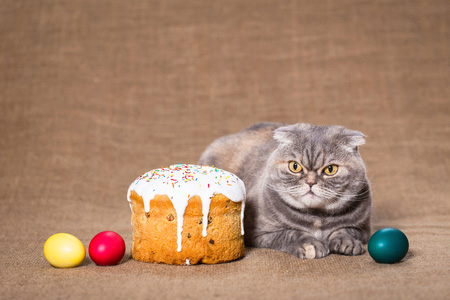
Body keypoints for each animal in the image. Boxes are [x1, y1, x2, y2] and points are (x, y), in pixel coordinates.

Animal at [199, 123, 370, 258]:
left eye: (330, 169)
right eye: (295, 166)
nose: (310, 182)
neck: (317, 217)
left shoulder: (363, 229)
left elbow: (347, 230)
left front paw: (347, 242)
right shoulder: (259, 233)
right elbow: (290, 233)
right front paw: (310, 245)